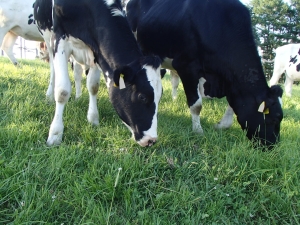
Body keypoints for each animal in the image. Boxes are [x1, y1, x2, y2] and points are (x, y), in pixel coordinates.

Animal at [33, 0, 163, 147]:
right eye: (142, 96)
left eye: (159, 97)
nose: (151, 140)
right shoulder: (59, 37)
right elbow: (62, 91)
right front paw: (55, 134)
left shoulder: (96, 50)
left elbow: (93, 86)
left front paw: (93, 119)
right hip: (48, 40)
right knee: (54, 71)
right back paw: (49, 95)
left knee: (77, 73)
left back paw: (78, 97)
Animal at [126, 0, 284, 148]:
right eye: (274, 119)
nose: (272, 146)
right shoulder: (186, 66)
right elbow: (196, 105)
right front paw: (198, 131)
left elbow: (232, 106)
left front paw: (221, 125)